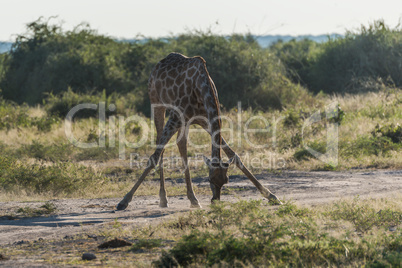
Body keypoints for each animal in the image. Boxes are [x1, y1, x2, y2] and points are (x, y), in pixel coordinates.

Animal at [115, 52, 280, 210]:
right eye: (209, 179)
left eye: (226, 180)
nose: (215, 201)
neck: (201, 87)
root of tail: (158, 64)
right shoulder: (175, 117)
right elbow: (153, 157)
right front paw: (124, 201)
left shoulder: (205, 120)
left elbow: (234, 155)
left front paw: (271, 196)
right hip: (157, 104)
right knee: (160, 146)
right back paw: (163, 199)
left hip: (185, 121)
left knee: (181, 144)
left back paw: (193, 199)